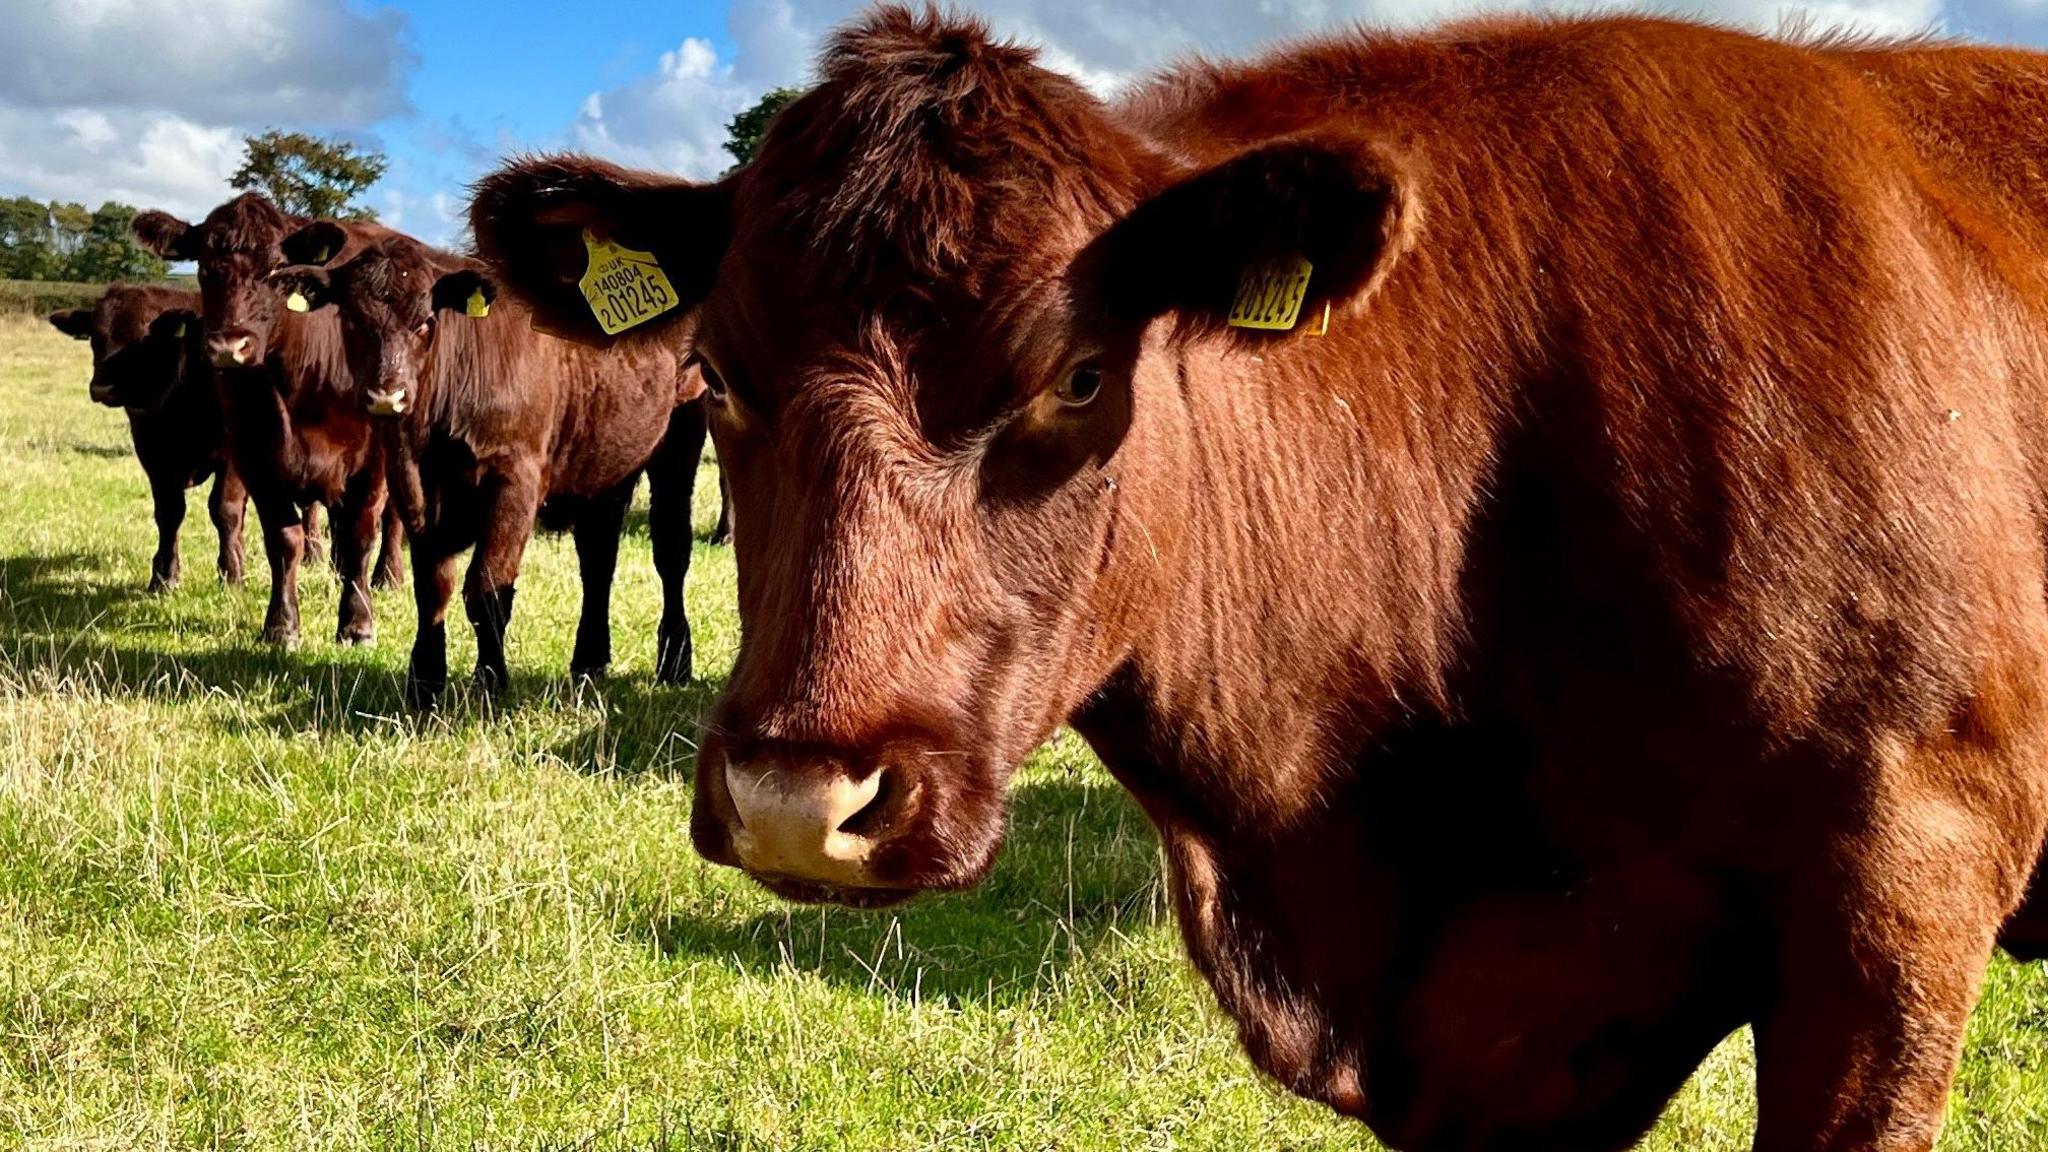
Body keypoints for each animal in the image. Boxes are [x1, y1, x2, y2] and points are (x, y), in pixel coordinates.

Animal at [48, 284, 245, 590]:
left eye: (143, 338)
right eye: (94, 336)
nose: (102, 388)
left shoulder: (232, 458)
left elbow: (224, 510)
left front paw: (231, 574)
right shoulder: (153, 457)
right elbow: (169, 513)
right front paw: (164, 577)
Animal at [131, 195, 403, 647]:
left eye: (276, 270)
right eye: (203, 268)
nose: (229, 346)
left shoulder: (374, 463)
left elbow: (362, 534)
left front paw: (357, 622)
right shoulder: (256, 457)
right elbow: (283, 539)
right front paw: (281, 625)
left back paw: (389, 576)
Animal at [270, 214, 712, 701]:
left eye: (426, 322)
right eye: (350, 320)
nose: (388, 395)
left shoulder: (514, 481)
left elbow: (486, 587)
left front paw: (490, 680)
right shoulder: (414, 488)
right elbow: (434, 586)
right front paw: (425, 680)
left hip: (682, 435)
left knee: (671, 549)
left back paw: (675, 661)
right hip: (605, 459)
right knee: (598, 558)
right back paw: (589, 660)